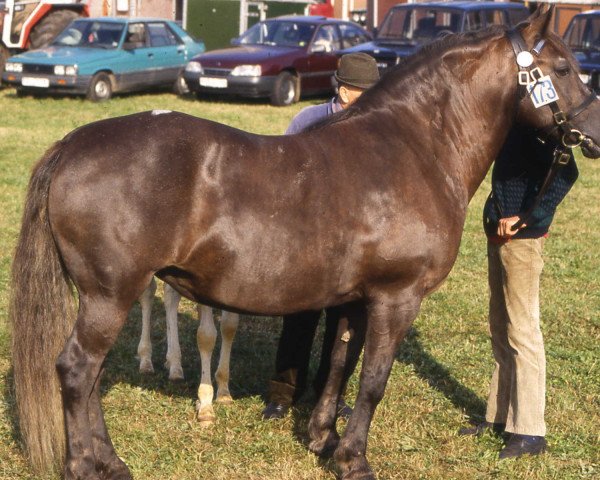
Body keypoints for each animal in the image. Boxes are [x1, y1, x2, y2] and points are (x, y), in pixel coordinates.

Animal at [9, 6, 600, 480]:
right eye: (563, 68)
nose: (593, 131)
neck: (416, 148)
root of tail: (74, 143)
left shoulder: (356, 301)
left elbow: (339, 366)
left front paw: (322, 439)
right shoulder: (396, 297)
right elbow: (373, 381)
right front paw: (355, 461)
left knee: (90, 377)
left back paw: (110, 462)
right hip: (109, 296)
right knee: (77, 370)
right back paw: (85, 465)